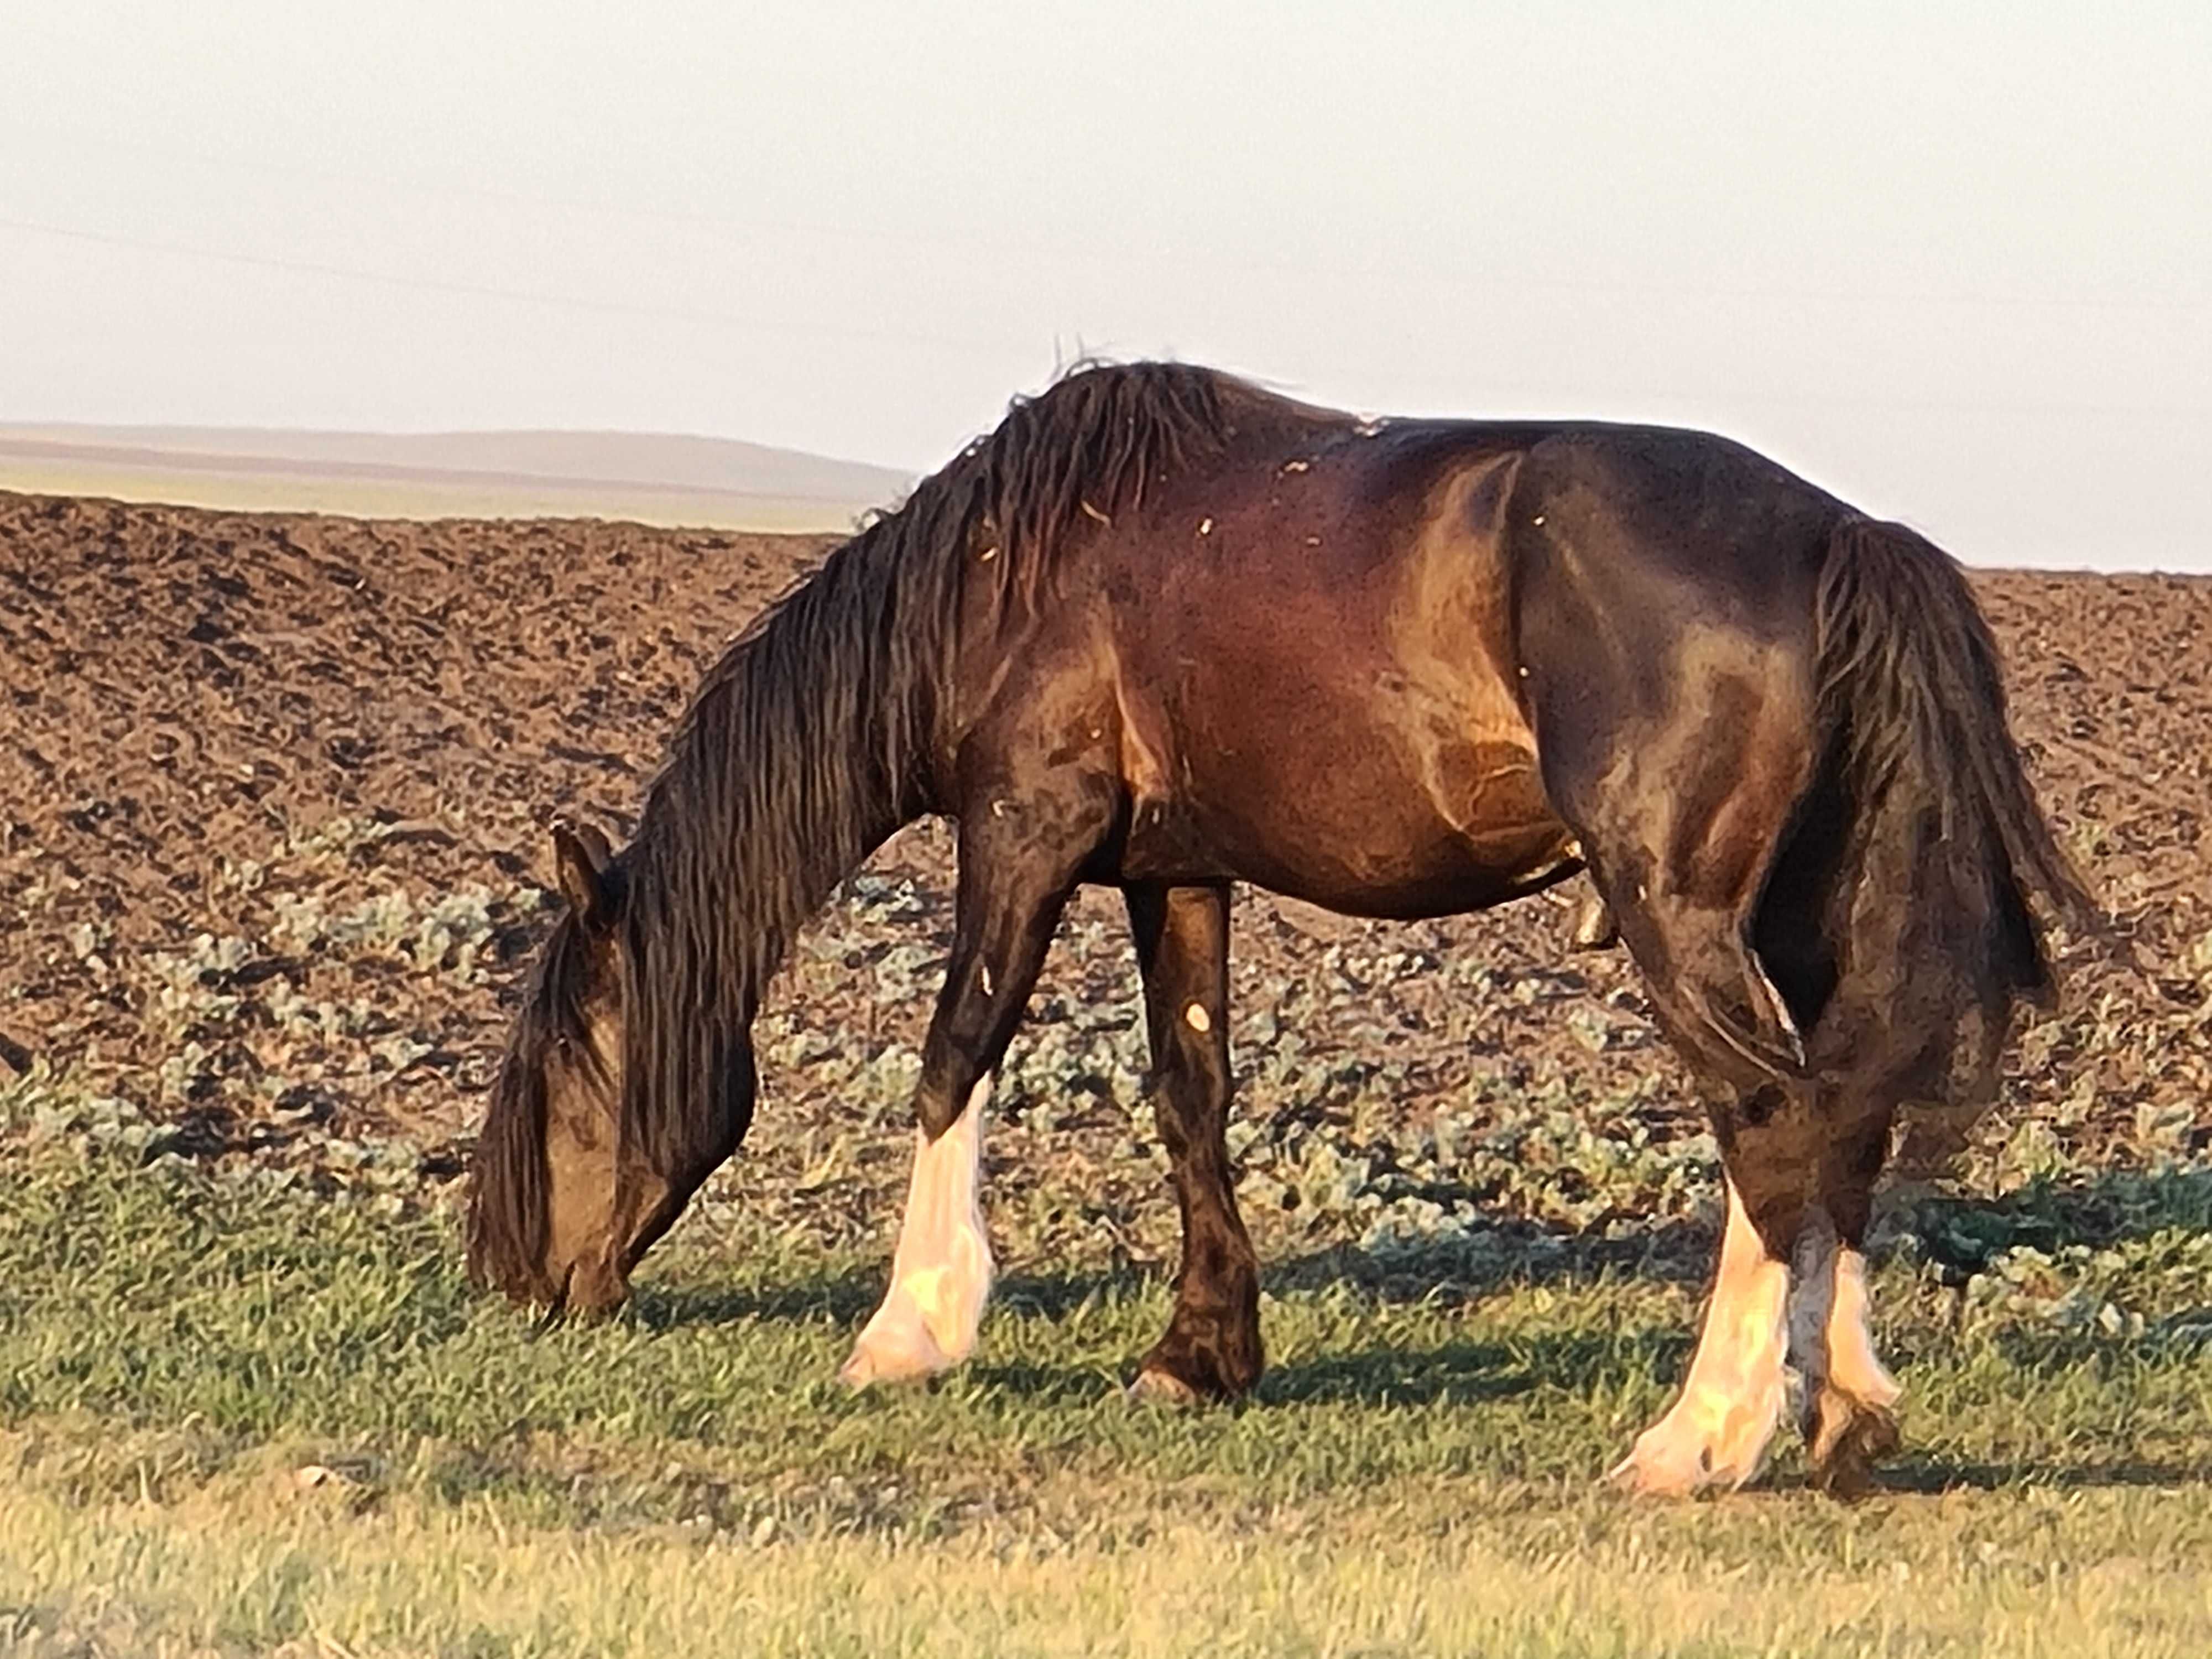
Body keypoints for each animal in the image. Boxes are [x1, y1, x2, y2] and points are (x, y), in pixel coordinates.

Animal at [467, 363, 2088, 1504]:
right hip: (1811, 919)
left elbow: (951, 1056)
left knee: (1768, 1123)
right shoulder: (1174, 875)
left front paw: (908, 1330)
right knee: (1841, 1124)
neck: (1014, 572)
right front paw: (1200, 1357)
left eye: (566, 1076)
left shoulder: (1022, 832)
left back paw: (1702, 1435)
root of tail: (1842, 540)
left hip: (1676, 914)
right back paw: (1843, 1415)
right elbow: (1191, 1096)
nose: (528, 1289)